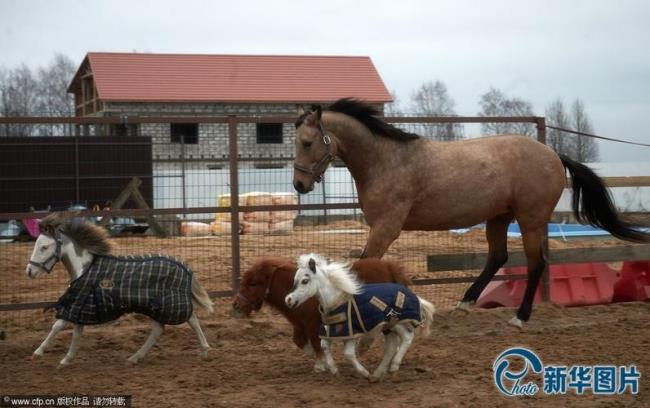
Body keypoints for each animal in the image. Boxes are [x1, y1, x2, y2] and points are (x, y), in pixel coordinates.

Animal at [26, 215, 213, 368]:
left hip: (169, 305)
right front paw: (66, 359)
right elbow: (75, 332)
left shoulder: (78, 304)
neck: (84, 269)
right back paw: (134, 358)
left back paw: (205, 351)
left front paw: (38, 353)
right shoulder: (81, 306)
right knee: (159, 329)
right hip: (157, 307)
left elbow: (58, 325)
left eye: (44, 247)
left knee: (191, 320)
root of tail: (185, 268)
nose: (29, 271)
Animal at [230, 258, 408, 370]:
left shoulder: (312, 325)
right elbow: (299, 341)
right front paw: (319, 360)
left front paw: (321, 364)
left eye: (253, 283)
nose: (235, 304)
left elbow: (316, 343)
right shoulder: (300, 325)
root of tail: (390, 267)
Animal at [284, 253, 432, 380]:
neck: (338, 300)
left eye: (305, 280)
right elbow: (324, 345)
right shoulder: (332, 330)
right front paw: (334, 370)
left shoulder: (351, 333)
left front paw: (364, 373)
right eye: (295, 280)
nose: (288, 300)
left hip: (396, 322)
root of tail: (413, 296)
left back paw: (393, 367)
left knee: (407, 337)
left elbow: (348, 353)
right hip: (387, 326)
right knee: (392, 344)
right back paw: (378, 373)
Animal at [292, 98, 644, 328]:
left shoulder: (386, 227)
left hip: (530, 220)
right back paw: (466, 302)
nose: (299, 184)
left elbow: (363, 266)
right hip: (499, 218)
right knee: (498, 257)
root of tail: (554, 154)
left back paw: (520, 317)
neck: (385, 160)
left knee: (535, 263)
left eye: (307, 143)